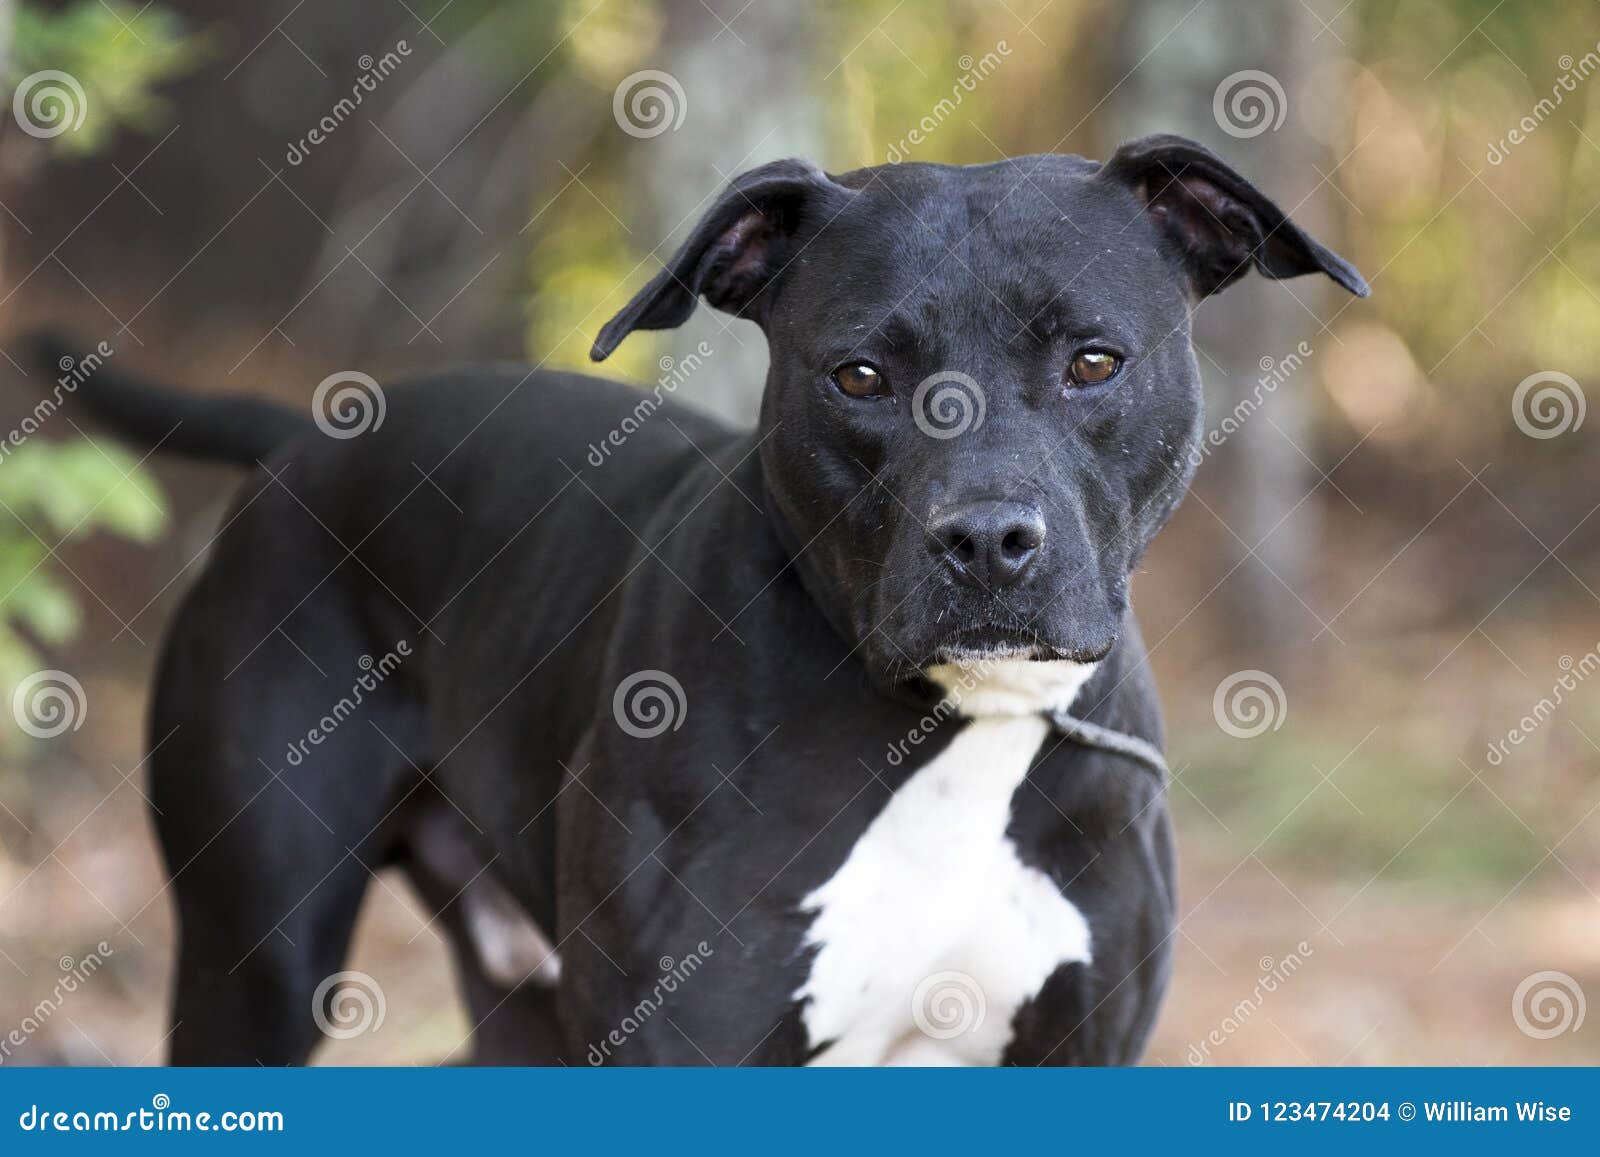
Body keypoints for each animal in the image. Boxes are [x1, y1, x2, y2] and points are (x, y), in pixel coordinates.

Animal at [37, 136, 1363, 1068]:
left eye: (1093, 360)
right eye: (859, 374)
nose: (987, 538)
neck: (954, 725)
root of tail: (303, 442)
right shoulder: (684, 1034)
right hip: (254, 963)